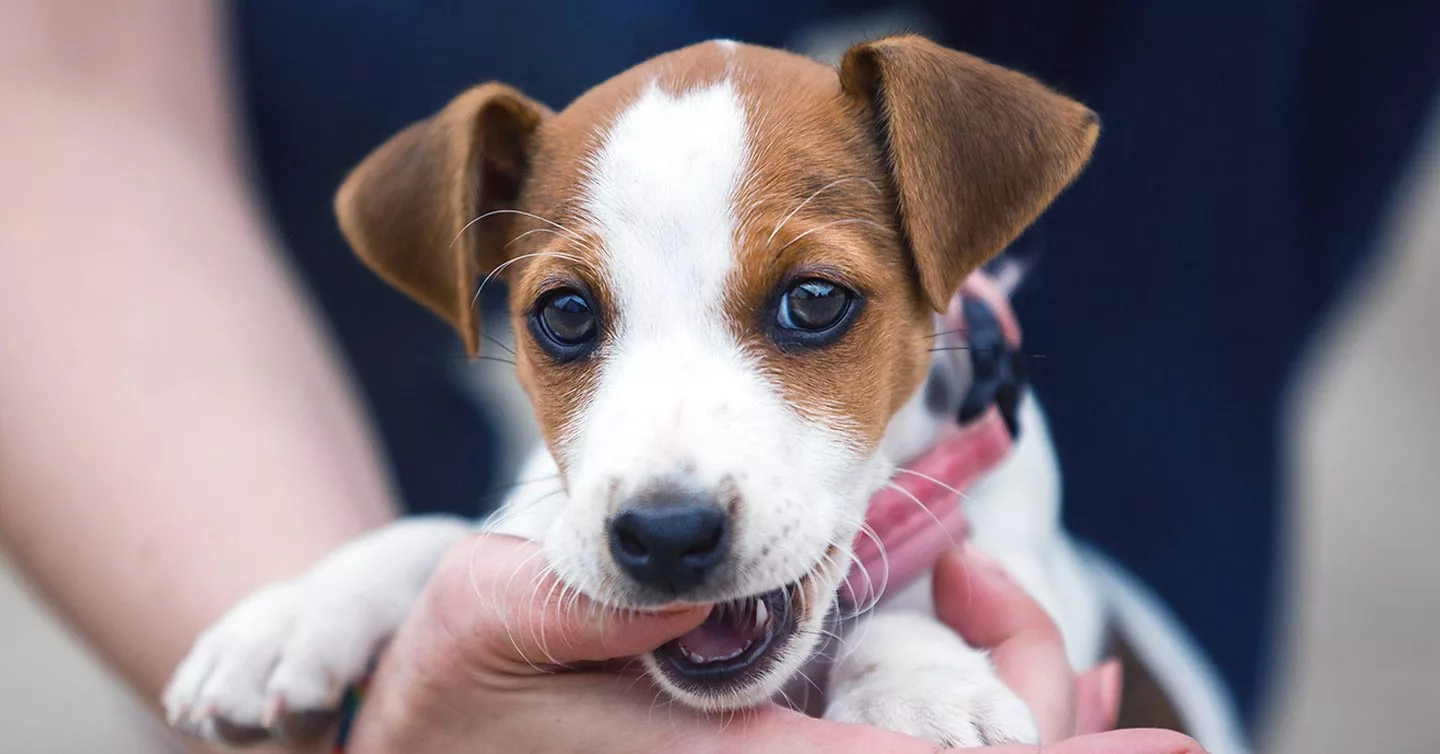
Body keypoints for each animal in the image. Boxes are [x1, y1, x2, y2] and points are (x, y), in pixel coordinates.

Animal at [165, 36, 1249, 754]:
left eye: (814, 300)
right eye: (565, 315)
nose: (666, 535)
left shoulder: (1026, 571)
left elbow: (921, 600)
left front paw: (922, 685)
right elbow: (447, 537)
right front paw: (297, 614)